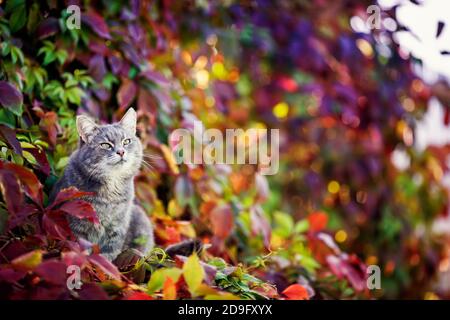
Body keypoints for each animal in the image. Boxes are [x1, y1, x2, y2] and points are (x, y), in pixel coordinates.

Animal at [50, 109, 154, 262]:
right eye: (105, 145)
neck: (110, 188)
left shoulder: (118, 224)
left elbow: (111, 248)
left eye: (126, 141)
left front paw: (104, 263)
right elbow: (81, 244)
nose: (121, 151)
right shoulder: (76, 221)